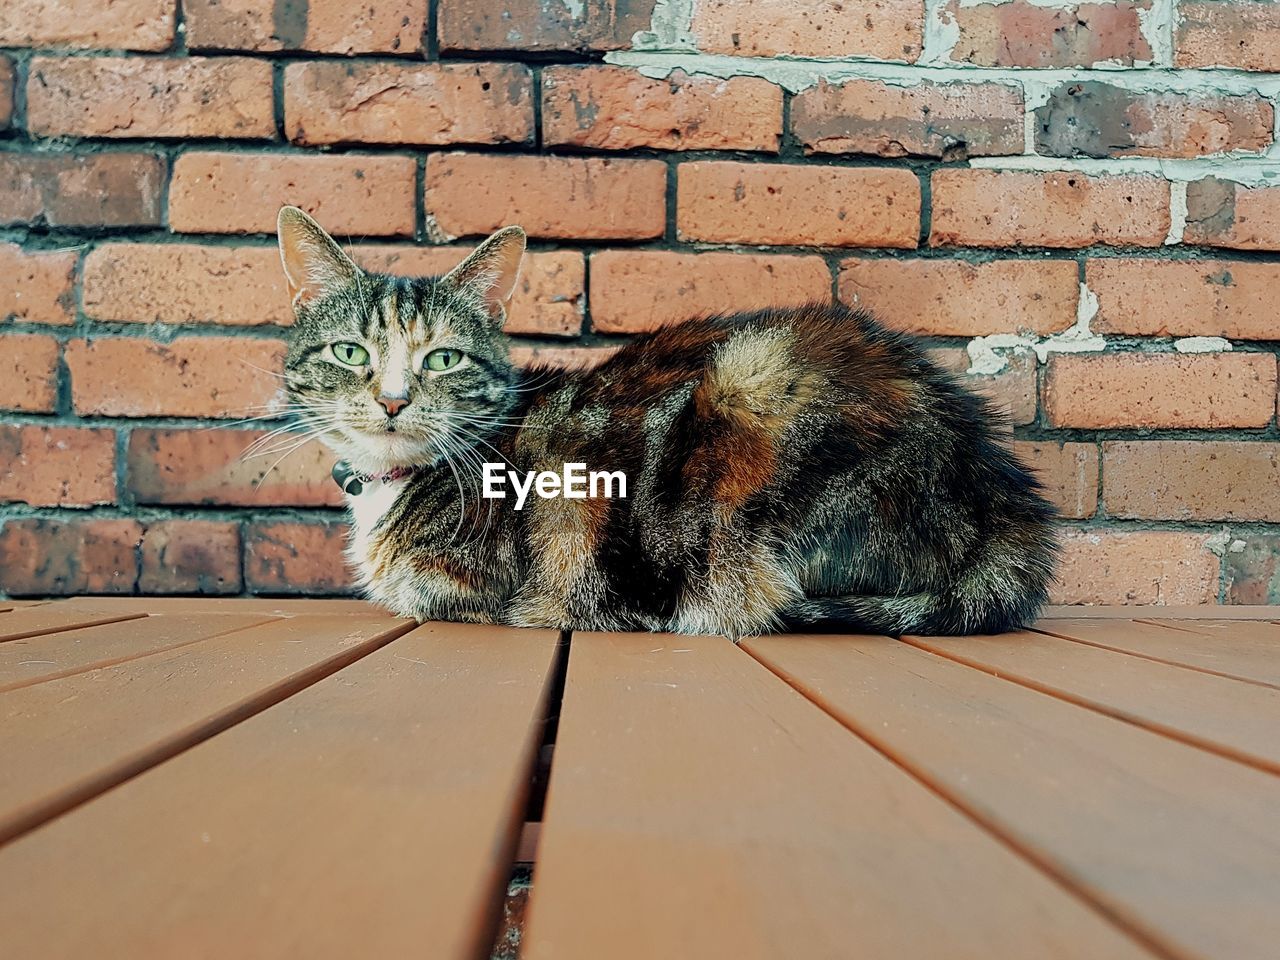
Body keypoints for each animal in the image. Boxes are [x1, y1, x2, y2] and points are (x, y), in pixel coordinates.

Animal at [277, 207, 1059, 640]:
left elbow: (420, 596)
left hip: (755, 381)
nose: (393, 400)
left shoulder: (468, 587)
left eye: (442, 358)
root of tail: (1008, 499)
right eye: (351, 352)